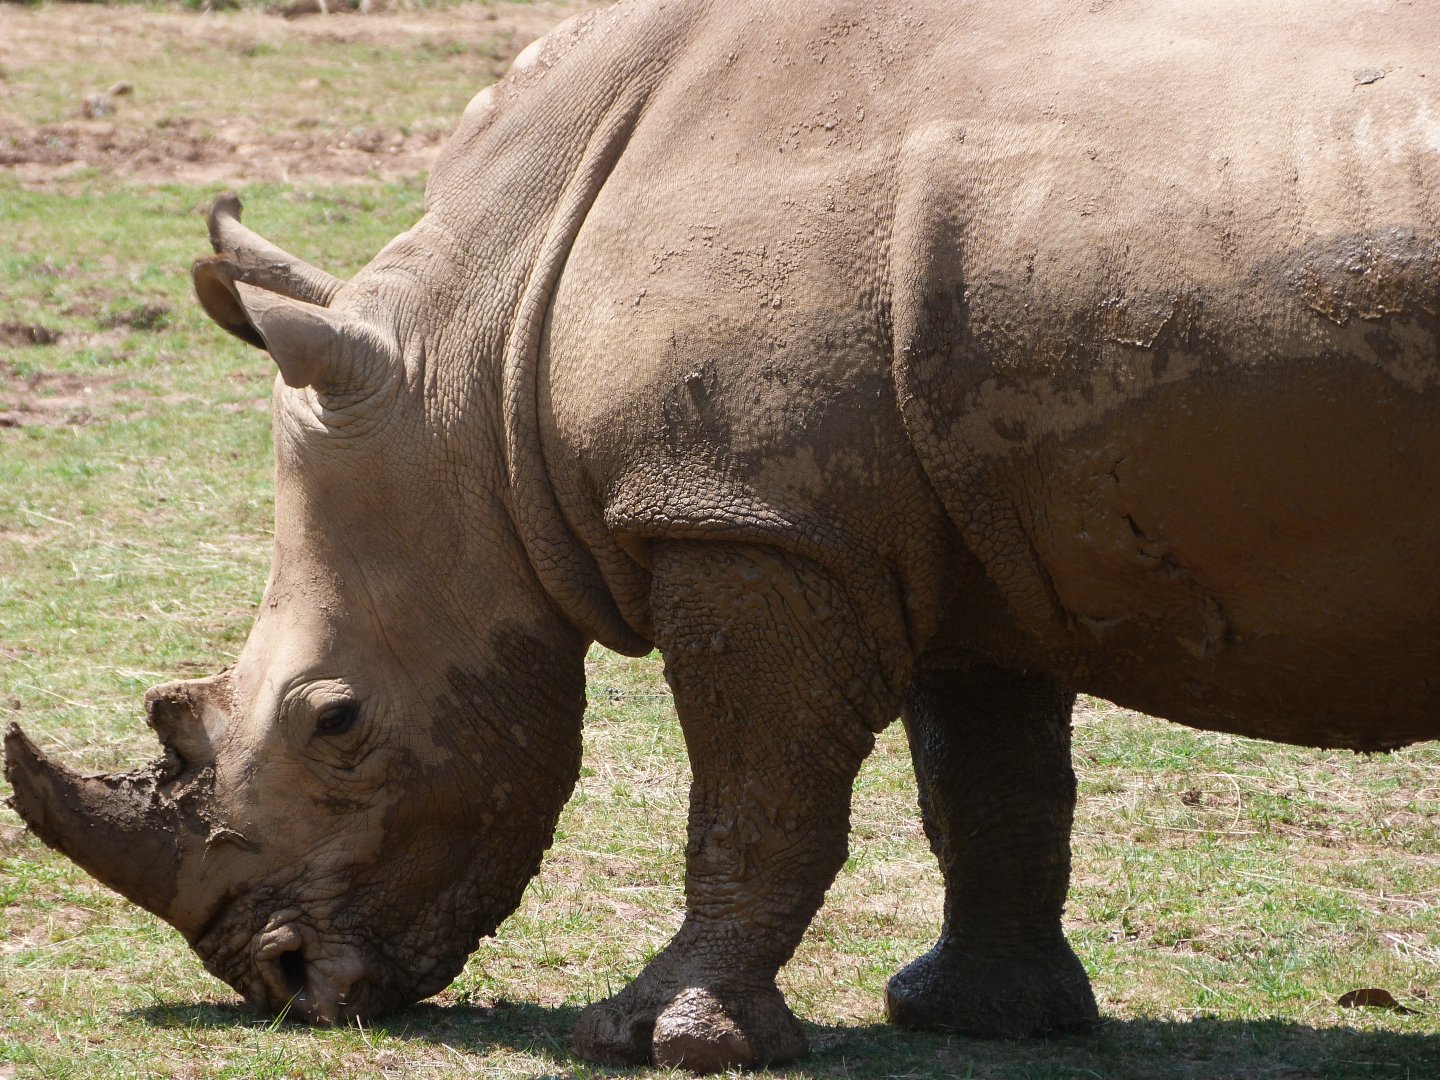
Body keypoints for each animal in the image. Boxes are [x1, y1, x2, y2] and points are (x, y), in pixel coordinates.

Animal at [5, 0, 1439, 1070]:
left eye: (336, 722)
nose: (281, 981)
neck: (482, 351)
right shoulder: (937, 521)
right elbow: (989, 784)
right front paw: (975, 1021)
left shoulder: (748, 515)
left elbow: (757, 792)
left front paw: (658, 1039)